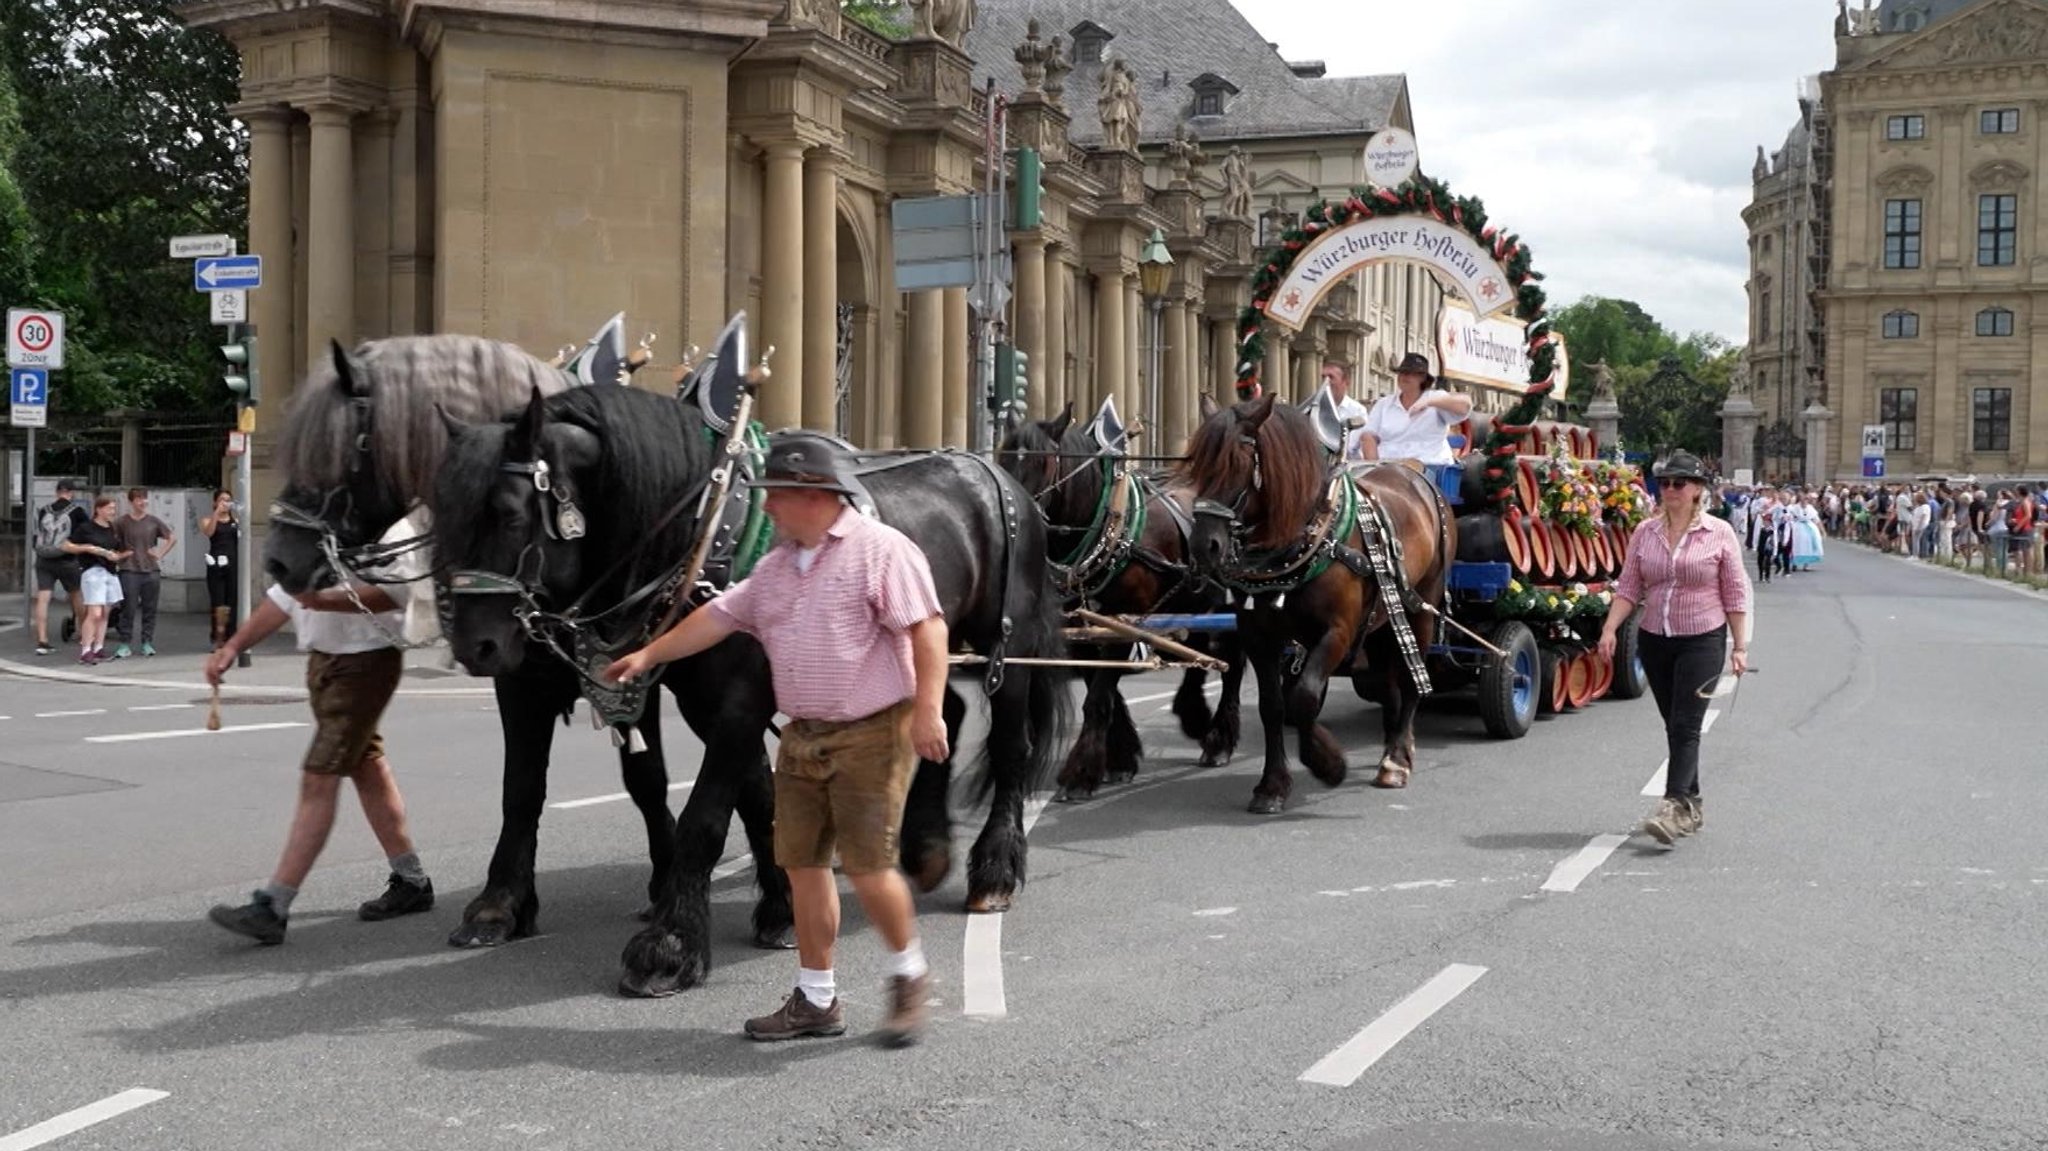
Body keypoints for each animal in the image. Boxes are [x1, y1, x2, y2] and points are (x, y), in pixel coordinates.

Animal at [262, 335, 696, 946]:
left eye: (340, 447)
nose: (278, 560)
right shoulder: (518, 676)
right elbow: (521, 786)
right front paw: (502, 903)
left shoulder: (632, 675)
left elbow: (646, 778)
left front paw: (665, 879)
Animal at [432, 385, 1073, 995]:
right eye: (445, 516)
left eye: (510, 516)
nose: (473, 645)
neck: (704, 534)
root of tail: (1002, 480)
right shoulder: (696, 697)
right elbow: (751, 796)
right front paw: (783, 903)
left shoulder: (740, 695)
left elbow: (707, 815)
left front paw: (671, 945)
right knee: (944, 715)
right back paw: (926, 847)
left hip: (1006, 645)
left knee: (1009, 748)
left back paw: (993, 870)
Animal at [995, 403, 1245, 798]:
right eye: (1003, 459)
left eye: (1045, 463)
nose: (1017, 512)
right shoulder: (1080, 626)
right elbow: (1102, 691)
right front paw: (1120, 757)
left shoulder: (1124, 620)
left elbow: (1099, 698)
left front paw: (1081, 774)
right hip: (1192, 602)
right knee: (1201, 652)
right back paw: (1195, 716)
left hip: (1230, 603)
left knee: (1232, 660)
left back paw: (1218, 739)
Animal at [1179, 393, 1449, 815]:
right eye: (1196, 465)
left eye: (1236, 464)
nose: (1203, 546)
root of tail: (1414, 473)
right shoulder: (1259, 637)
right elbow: (1274, 706)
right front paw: (1273, 784)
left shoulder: (1338, 631)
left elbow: (1303, 698)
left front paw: (1328, 764)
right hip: (1382, 619)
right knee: (1387, 679)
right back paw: (1391, 740)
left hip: (1422, 604)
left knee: (1409, 680)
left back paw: (1397, 757)